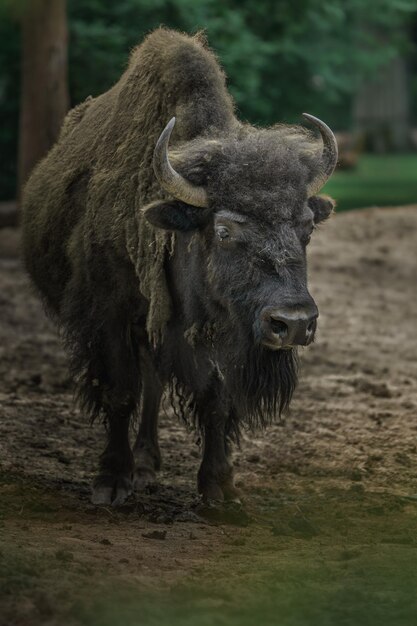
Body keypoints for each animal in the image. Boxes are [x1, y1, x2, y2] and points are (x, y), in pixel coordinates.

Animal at [21, 30, 336, 508]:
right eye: (223, 230)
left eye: (306, 226)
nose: (294, 323)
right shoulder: (108, 317)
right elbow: (119, 392)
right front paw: (110, 481)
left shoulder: (217, 332)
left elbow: (216, 400)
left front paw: (220, 488)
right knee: (143, 383)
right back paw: (138, 468)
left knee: (153, 381)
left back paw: (148, 462)